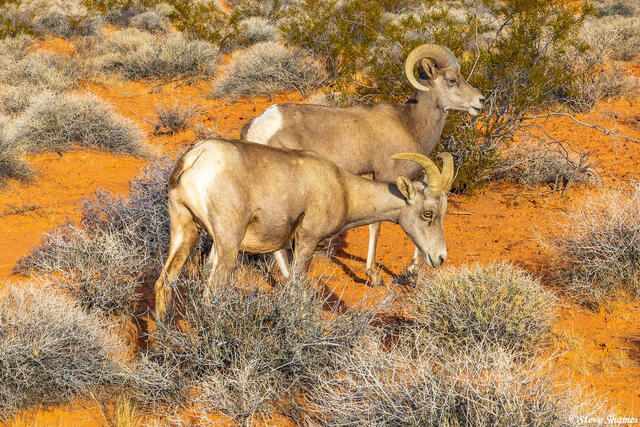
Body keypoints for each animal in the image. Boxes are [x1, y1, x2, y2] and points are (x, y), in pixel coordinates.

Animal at [154, 138, 454, 320]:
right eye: (428, 213)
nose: (439, 257)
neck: (342, 188)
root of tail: (195, 158)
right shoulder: (307, 242)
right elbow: (298, 288)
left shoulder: (282, 247)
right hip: (228, 244)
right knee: (211, 294)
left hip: (185, 230)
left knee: (164, 282)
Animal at [240, 44, 484, 285]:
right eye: (452, 80)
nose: (480, 101)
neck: (410, 124)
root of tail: (257, 125)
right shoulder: (385, 177)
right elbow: (376, 226)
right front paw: (375, 275)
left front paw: (413, 268)